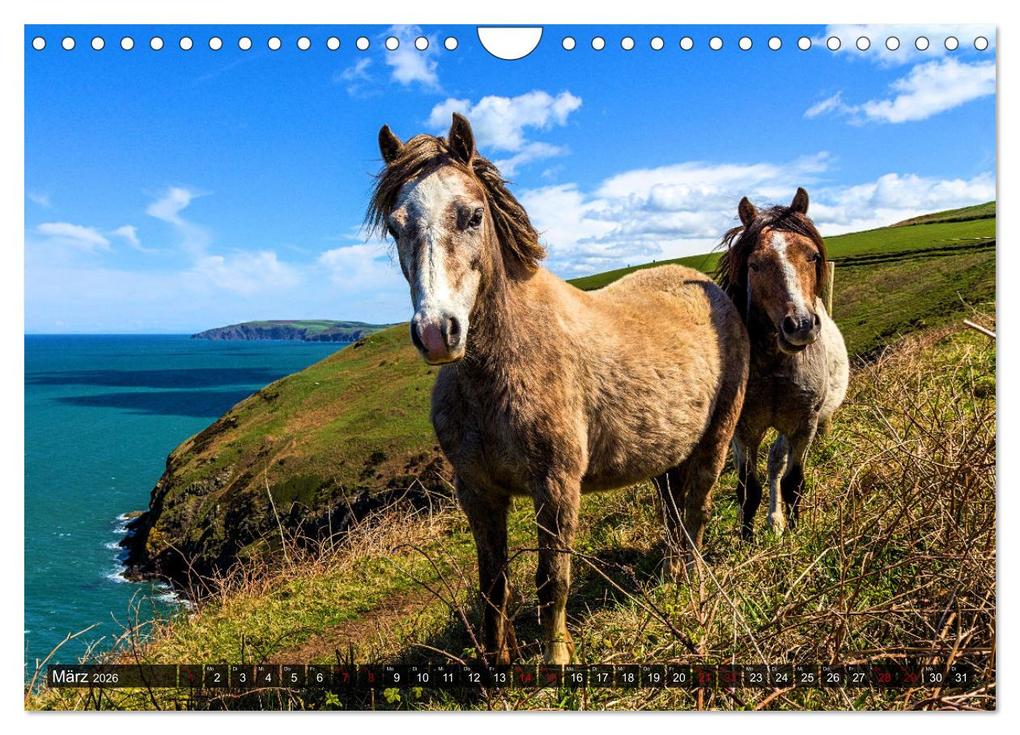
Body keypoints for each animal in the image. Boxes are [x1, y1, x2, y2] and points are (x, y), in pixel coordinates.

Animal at [367, 113, 749, 665]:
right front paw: (495, 663)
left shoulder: (556, 488)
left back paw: (693, 585)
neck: (498, 374)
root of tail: (709, 288)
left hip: (716, 439)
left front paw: (557, 660)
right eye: (397, 226)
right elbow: (493, 585)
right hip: (665, 453)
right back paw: (671, 573)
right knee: (674, 512)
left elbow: (553, 582)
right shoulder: (478, 492)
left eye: (472, 216)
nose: (438, 332)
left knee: (695, 511)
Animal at [716, 188, 849, 539]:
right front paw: (746, 540)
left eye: (813, 256)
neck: (776, 368)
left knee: (777, 462)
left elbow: (792, 482)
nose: (800, 325)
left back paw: (776, 521)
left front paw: (796, 531)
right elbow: (748, 489)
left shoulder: (804, 425)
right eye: (755, 264)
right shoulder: (745, 430)